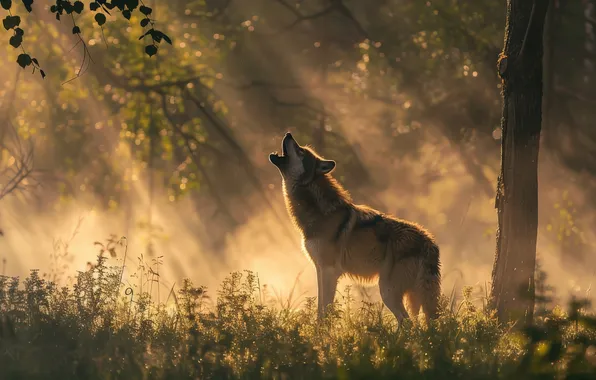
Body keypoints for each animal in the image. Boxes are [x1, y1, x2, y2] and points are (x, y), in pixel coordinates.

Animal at [268, 132, 440, 322]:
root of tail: (430, 243)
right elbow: (320, 308)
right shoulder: (320, 269)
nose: (288, 134)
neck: (321, 211)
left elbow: (324, 310)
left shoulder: (329, 270)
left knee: (407, 322)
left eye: (300, 151)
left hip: (388, 291)